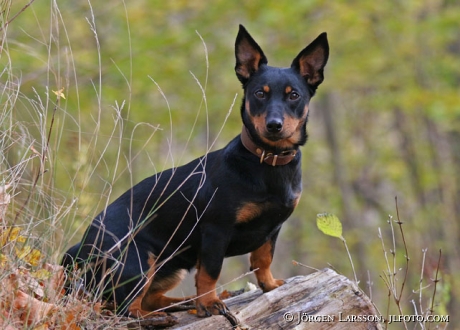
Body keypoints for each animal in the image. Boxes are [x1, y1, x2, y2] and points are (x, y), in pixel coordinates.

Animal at [62, 24, 328, 318]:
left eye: (294, 95)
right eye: (259, 93)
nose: (274, 125)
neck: (266, 162)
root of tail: (77, 251)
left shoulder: (272, 229)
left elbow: (262, 259)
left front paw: (269, 285)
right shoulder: (215, 230)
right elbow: (210, 272)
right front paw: (209, 303)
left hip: (169, 268)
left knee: (149, 299)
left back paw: (184, 302)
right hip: (139, 261)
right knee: (124, 307)